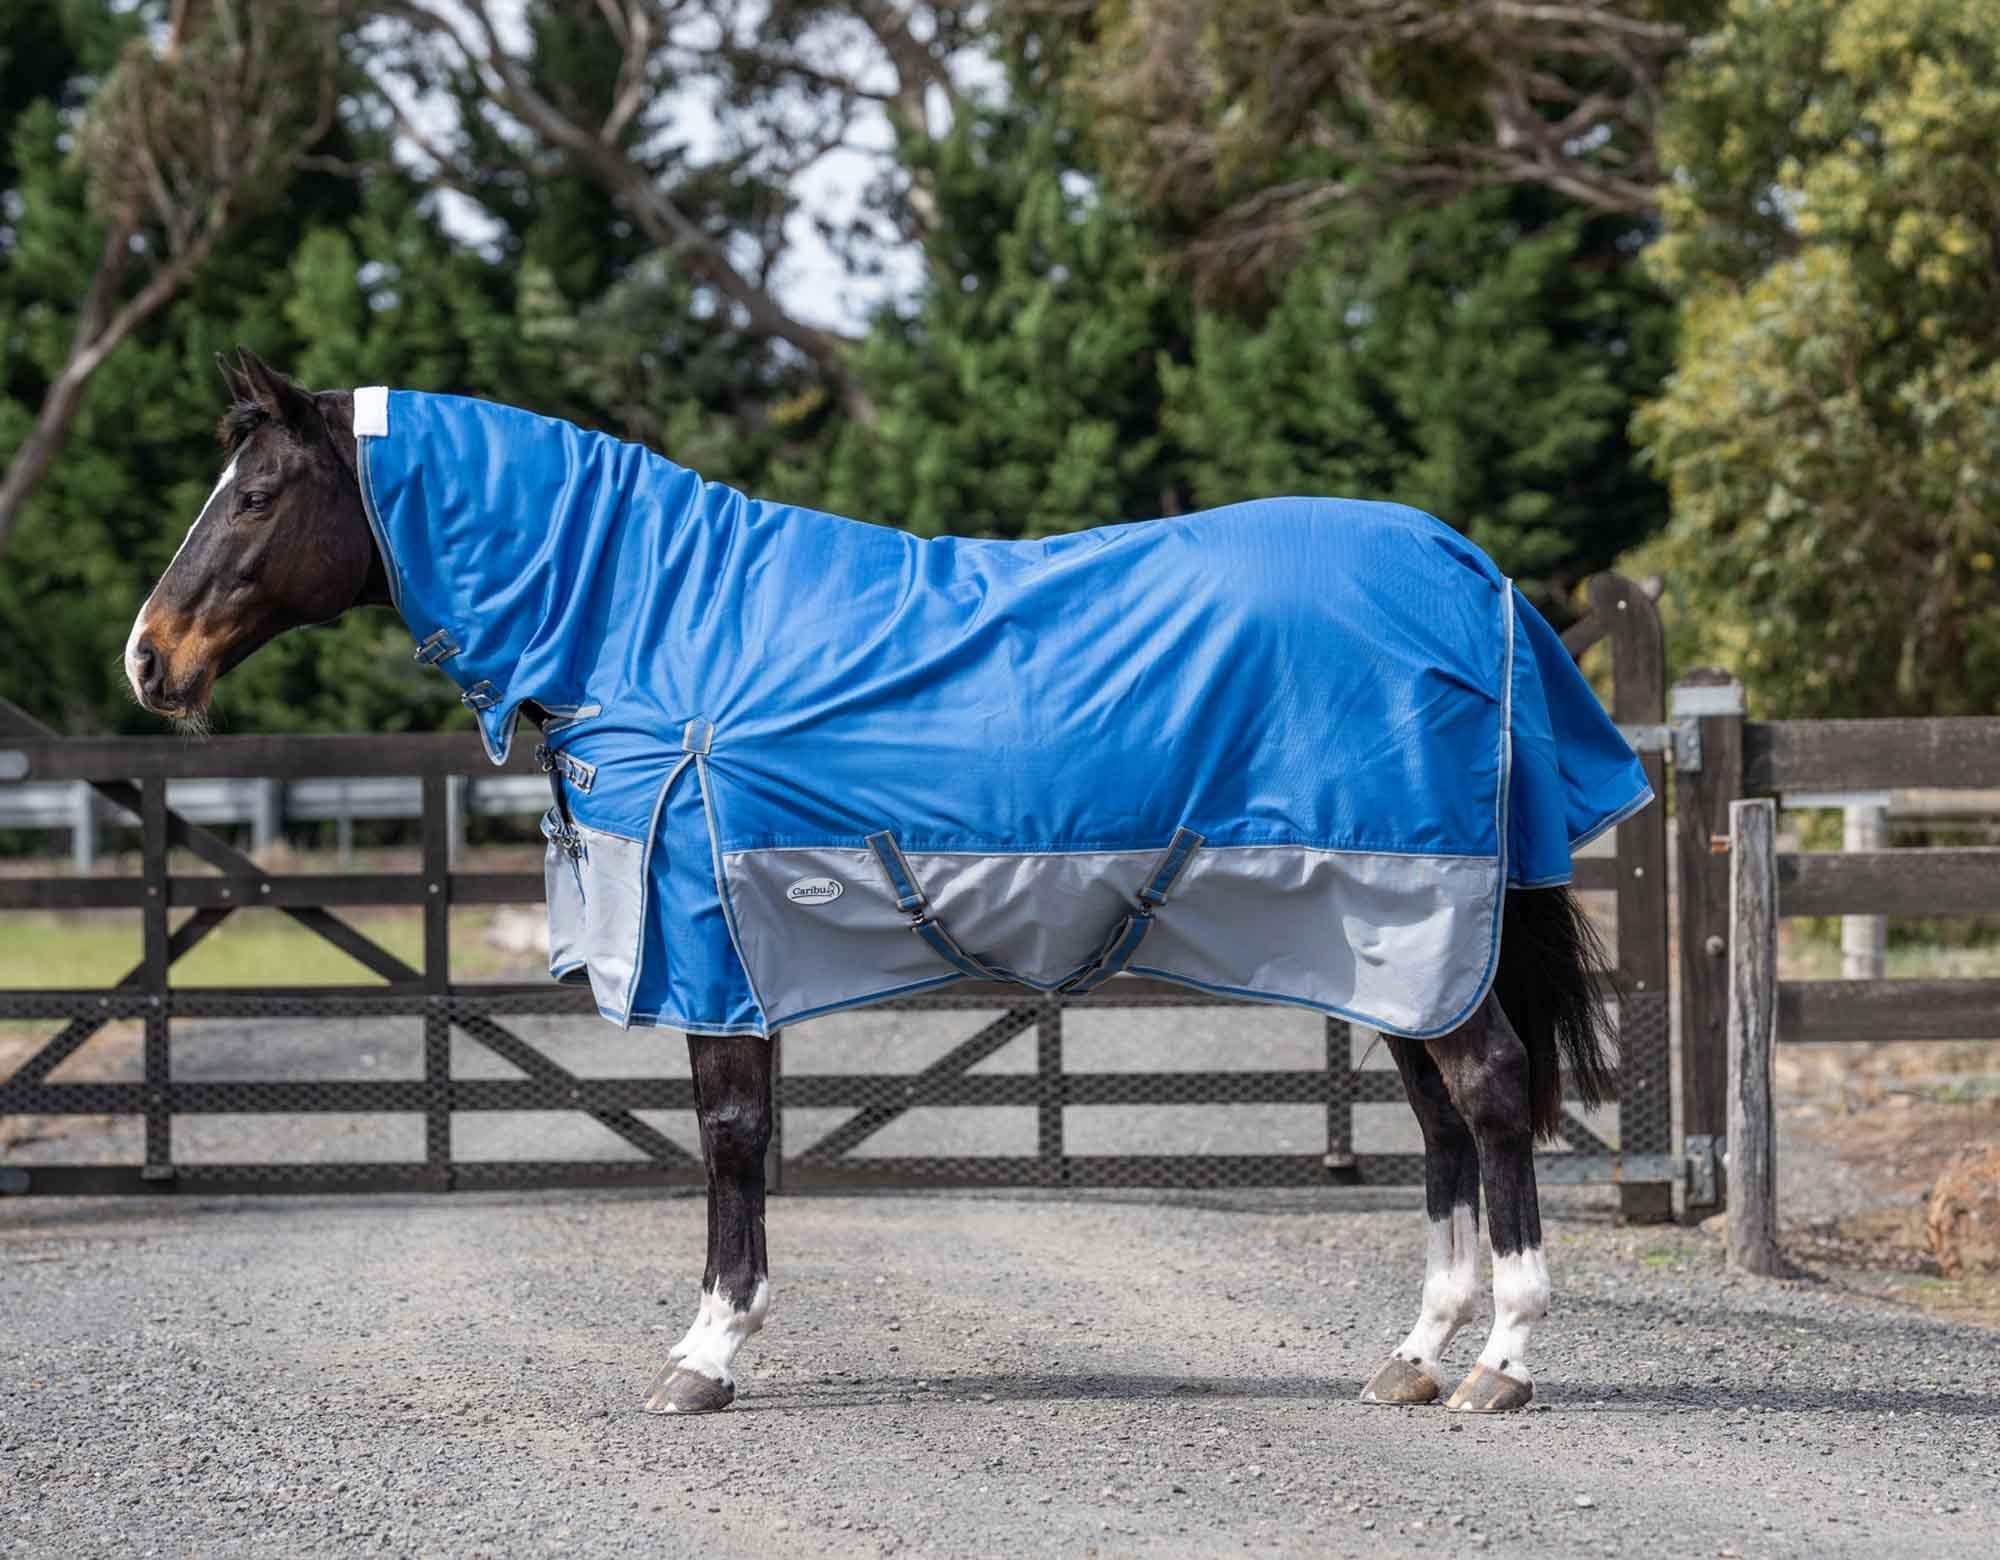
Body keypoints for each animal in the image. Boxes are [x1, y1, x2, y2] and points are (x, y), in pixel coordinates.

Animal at [126, 348, 1651, 1417]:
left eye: (256, 496)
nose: (150, 661)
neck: (658, 621)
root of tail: (1468, 572)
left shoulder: (715, 953)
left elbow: (730, 1141)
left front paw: (708, 1353)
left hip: (1414, 923)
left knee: (1491, 1093)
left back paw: (1505, 1360)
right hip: (1385, 944)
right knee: (1443, 1118)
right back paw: (1417, 1354)